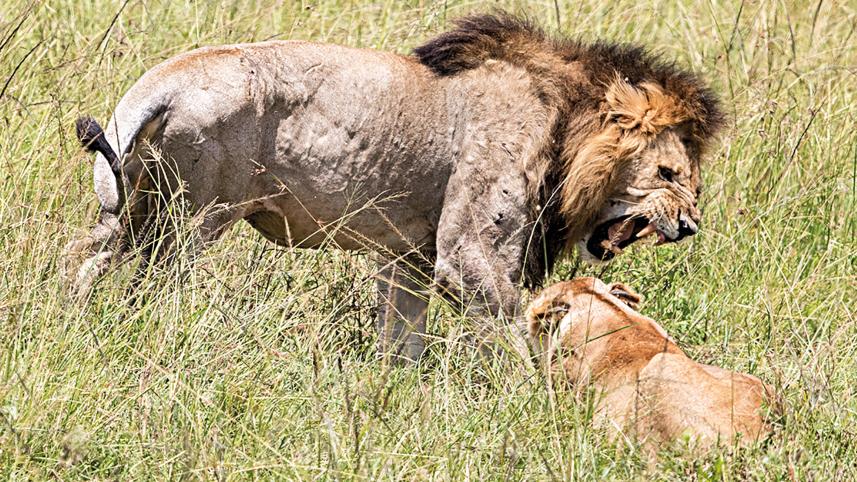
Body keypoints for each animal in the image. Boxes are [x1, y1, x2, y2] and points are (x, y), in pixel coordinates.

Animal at [65, 13, 722, 361]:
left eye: (687, 180)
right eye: (668, 175)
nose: (690, 227)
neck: (565, 122)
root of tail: (165, 78)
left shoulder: (408, 257)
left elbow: (402, 339)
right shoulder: (466, 252)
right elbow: (514, 336)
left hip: (136, 209)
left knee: (87, 262)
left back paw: (81, 328)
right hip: (194, 215)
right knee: (152, 286)